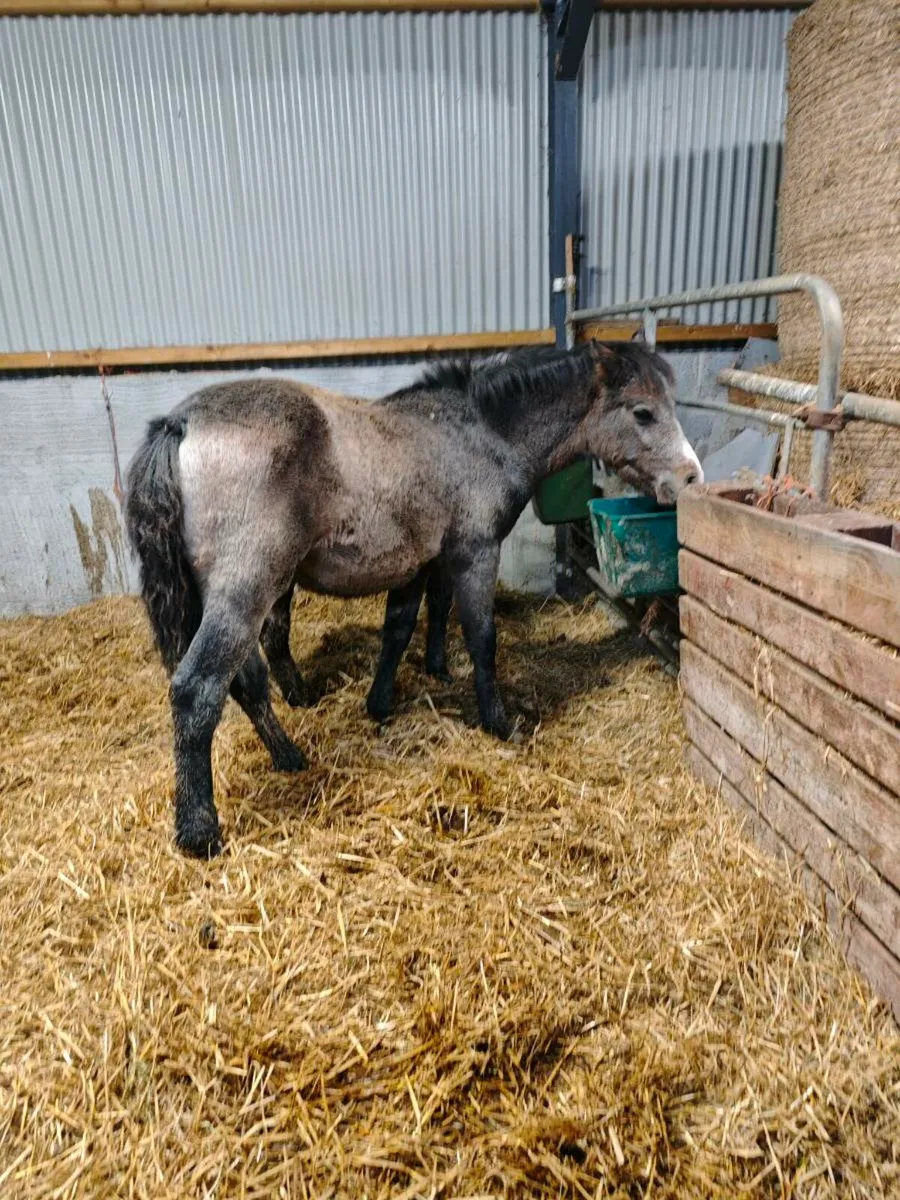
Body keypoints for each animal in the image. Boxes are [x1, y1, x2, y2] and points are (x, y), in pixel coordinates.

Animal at [125, 341, 702, 858]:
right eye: (643, 412)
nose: (690, 479)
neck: (478, 433)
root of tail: (180, 423)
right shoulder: (474, 551)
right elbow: (481, 636)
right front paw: (497, 721)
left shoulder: (421, 562)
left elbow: (403, 627)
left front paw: (385, 701)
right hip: (248, 589)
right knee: (198, 688)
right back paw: (200, 832)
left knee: (246, 682)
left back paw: (289, 755)